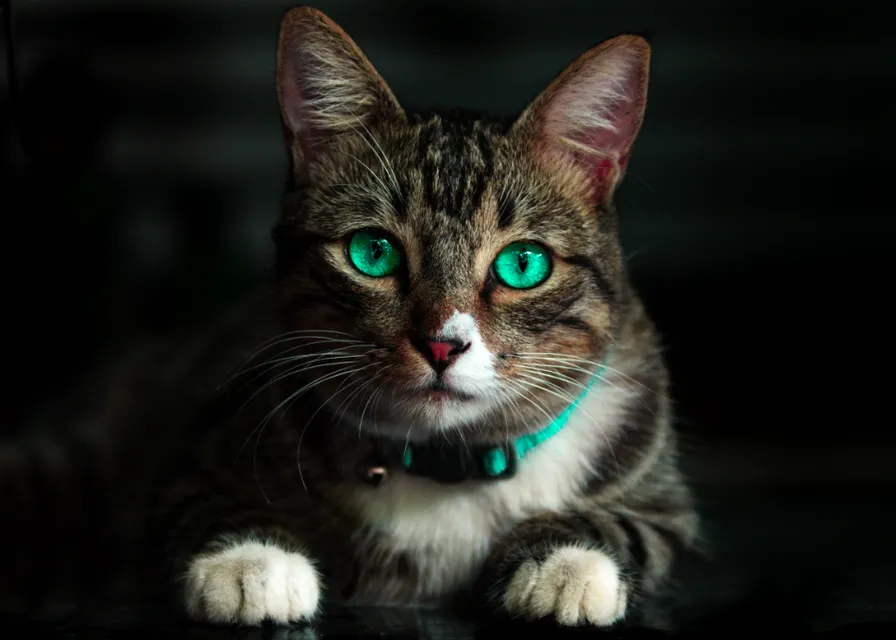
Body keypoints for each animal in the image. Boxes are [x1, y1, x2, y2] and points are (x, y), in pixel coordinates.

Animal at [0, 3, 700, 632]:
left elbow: (632, 525)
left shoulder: (665, 500)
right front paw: (253, 561)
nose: (441, 345)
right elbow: (203, 500)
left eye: (523, 264)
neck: (446, 466)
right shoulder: (197, 452)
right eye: (373, 252)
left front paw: (567, 563)